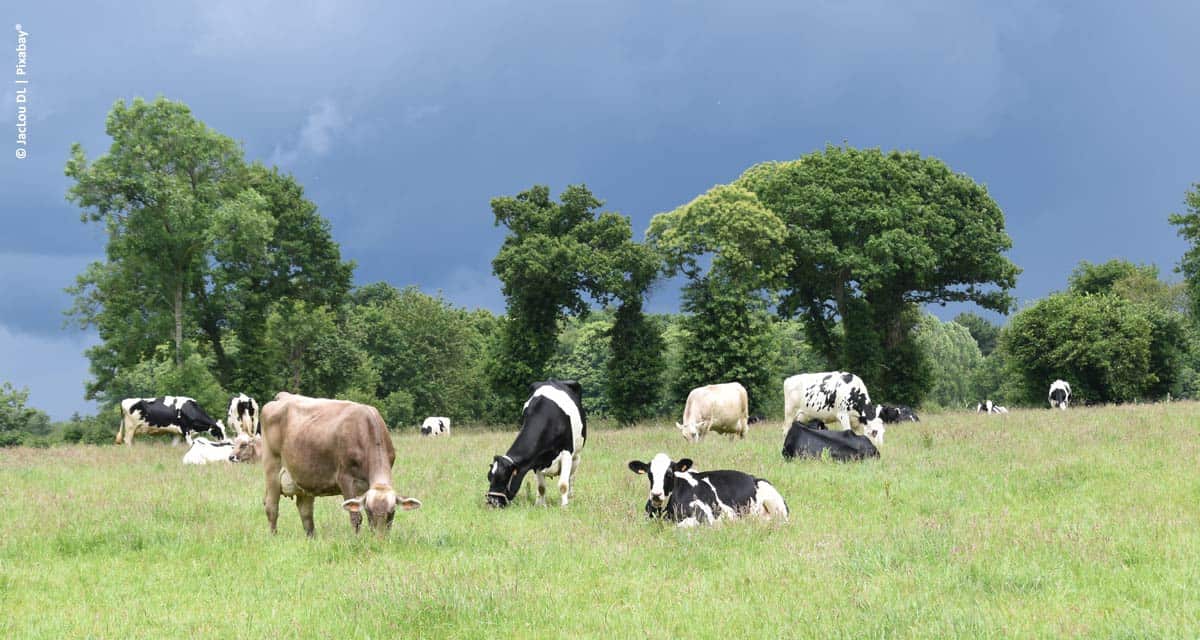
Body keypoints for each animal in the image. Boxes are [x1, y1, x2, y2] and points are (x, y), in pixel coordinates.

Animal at [260, 391, 420, 535]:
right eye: (369, 510)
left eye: (392, 511)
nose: (380, 537)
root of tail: (283, 396)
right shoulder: (345, 478)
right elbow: (356, 517)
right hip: (272, 468)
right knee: (272, 507)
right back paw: (273, 536)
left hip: (304, 477)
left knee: (305, 511)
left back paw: (311, 537)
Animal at [482, 379, 585, 509]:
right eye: (489, 477)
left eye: (504, 477)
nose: (492, 502)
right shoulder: (536, 459)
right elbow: (541, 487)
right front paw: (541, 506)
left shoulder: (566, 452)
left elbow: (563, 485)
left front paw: (564, 506)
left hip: (577, 455)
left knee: (572, 477)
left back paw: (571, 497)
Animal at [628, 451, 787, 525]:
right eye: (650, 474)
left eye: (669, 474)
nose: (656, 494)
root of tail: (752, 477)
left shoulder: (703, 517)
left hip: (777, 505)